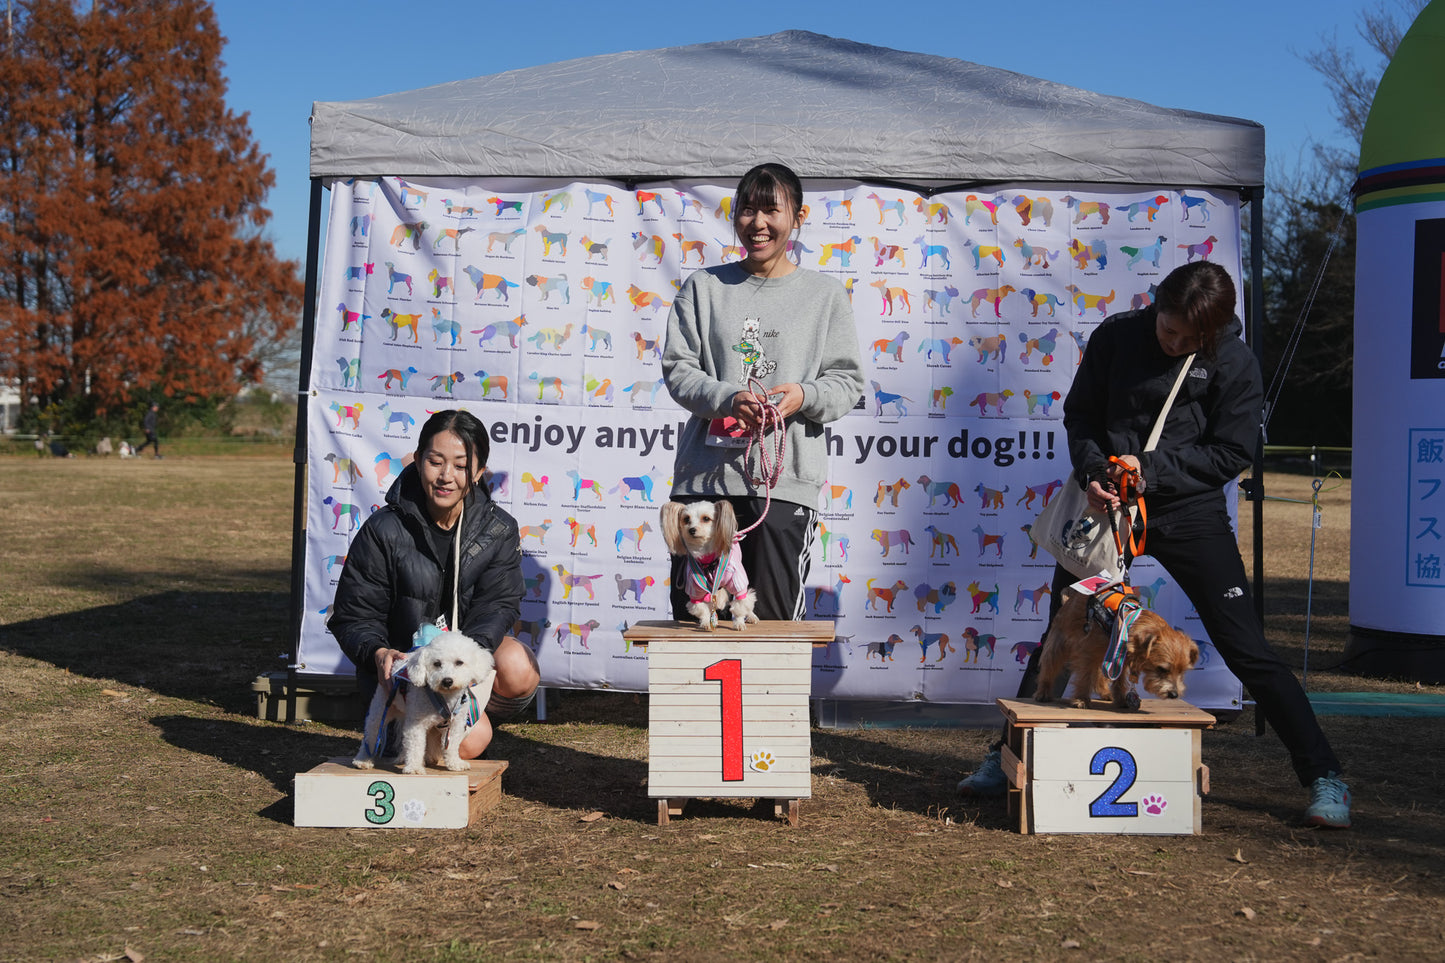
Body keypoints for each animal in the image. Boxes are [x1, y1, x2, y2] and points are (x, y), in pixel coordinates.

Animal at [354, 630, 497, 775]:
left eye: (459, 662)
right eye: (437, 663)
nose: (447, 681)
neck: (445, 698)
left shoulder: (455, 724)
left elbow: (451, 744)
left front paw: (455, 763)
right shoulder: (416, 724)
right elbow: (416, 745)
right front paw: (414, 768)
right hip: (381, 708)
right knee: (371, 734)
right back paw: (363, 760)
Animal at [1040, 589, 1196, 708]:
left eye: (1182, 671)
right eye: (1162, 669)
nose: (1174, 694)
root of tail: (1068, 600)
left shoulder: (1117, 659)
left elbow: (1119, 681)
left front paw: (1121, 700)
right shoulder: (1088, 654)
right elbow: (1085, 677)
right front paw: (1081, 699)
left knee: (1099, 676)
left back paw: (1105, 692)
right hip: (1057, 646)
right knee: (1049, 667)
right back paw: (1043, 693)